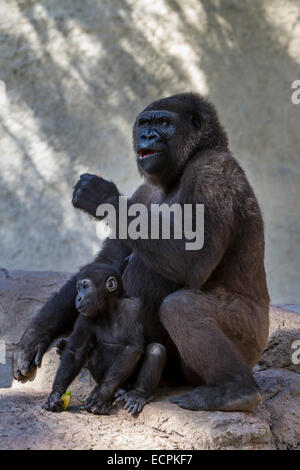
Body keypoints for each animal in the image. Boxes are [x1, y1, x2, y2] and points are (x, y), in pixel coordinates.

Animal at [42, 264, 166, 414]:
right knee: (95, 353)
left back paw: (138, 394)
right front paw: (55, 395)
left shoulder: (132, 309)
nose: (78, 298)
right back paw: (115, 391)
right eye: (78, 288)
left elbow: (133, 348)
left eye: (85, 286)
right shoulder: (84, 317)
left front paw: (102, 395)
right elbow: (76, 351)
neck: (109, 309)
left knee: (156, 349)